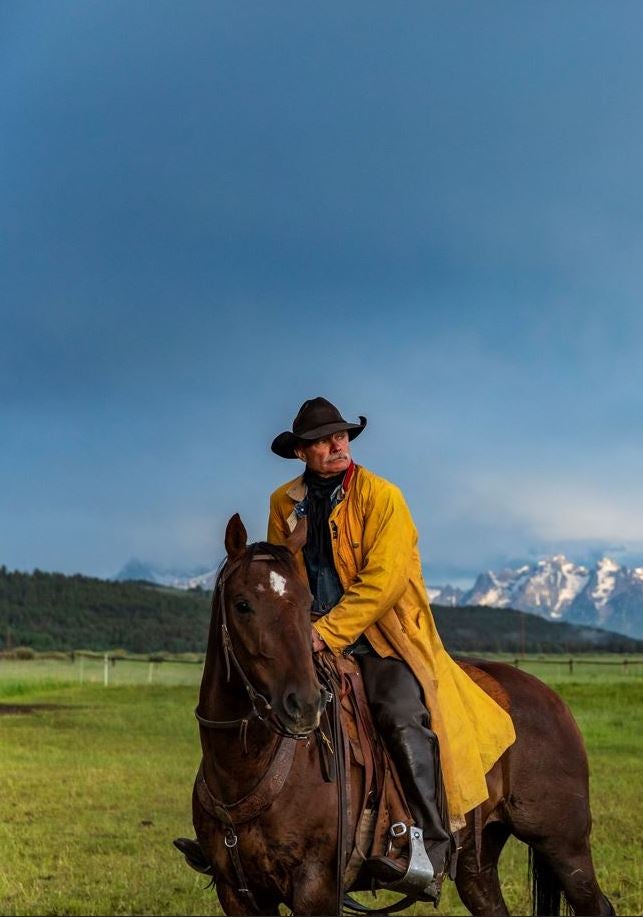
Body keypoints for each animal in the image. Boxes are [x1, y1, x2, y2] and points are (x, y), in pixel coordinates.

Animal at [189, 516, 616, 916]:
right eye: (243, 604)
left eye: (305, 602)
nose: (305, 704)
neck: (245, 769)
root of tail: (551, 699)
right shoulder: (238, 893)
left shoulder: (317, 889)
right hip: (478, 863)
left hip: (564, 844)